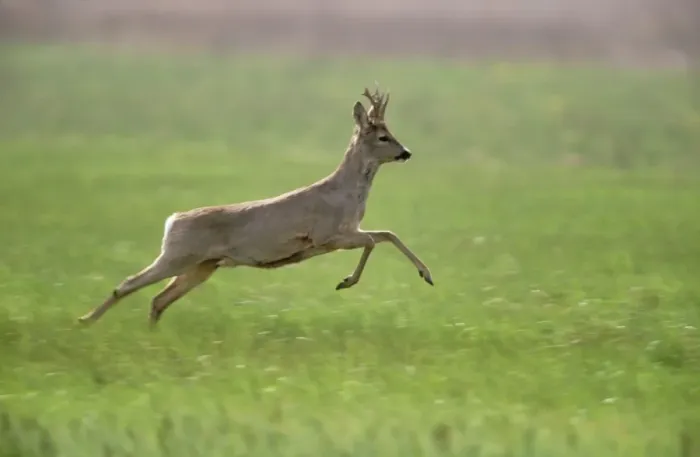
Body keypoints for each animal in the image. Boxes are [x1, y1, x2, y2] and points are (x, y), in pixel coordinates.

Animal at [77, 86, 434, 327]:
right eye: (383, 136)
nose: (406, 152)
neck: (345, 194)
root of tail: (173, 220)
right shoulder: (328, 236)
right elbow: (374, 239)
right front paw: (345, 282)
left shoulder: (348, 231)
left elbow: (387, 234)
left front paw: (426, 275)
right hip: (177, 255)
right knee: (127, 285)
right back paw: (84, 322)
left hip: (202, 265)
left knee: (159, 299)